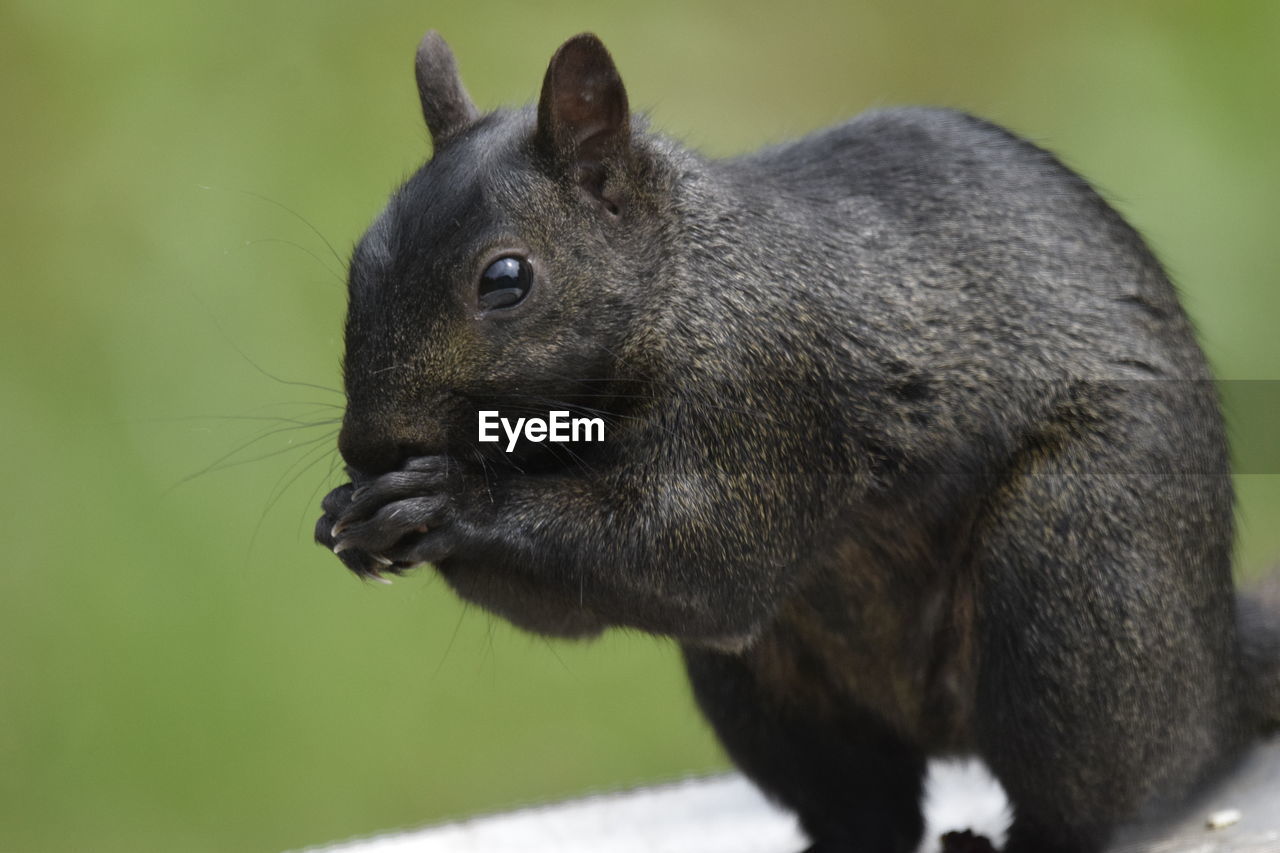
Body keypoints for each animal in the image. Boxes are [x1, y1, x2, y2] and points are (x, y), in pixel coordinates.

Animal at [312, 29, 1280, 850]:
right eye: (360, 262)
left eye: (506, 279)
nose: (368, 446)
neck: (689, 282)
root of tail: (1222, 670)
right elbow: (580, 607)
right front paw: (347, 516)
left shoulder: (769, 398)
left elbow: (701, 556)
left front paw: (448, 499)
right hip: (775, 692)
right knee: (867, 804)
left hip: (1077, 572)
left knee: (1104, 792)